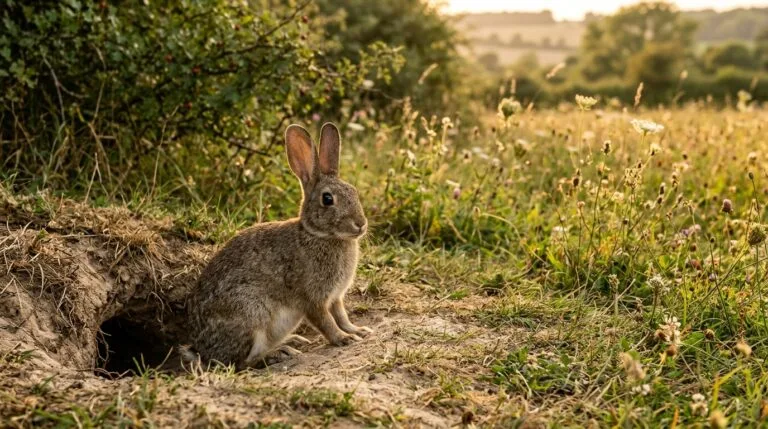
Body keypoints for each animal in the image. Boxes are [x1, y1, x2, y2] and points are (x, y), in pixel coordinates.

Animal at [182, 122, 372, 370]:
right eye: (328, 199)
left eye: (354, 191)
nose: (360, 224)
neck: (319, 235)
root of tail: (203, 352)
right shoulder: (313, 298)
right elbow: (326, 321)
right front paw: (344, 338)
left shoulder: (335, 297)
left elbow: (341, 316)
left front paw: (358, 330)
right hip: (252, 313)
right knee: (240, 362)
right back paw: (279, 353)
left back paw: (292, 340)